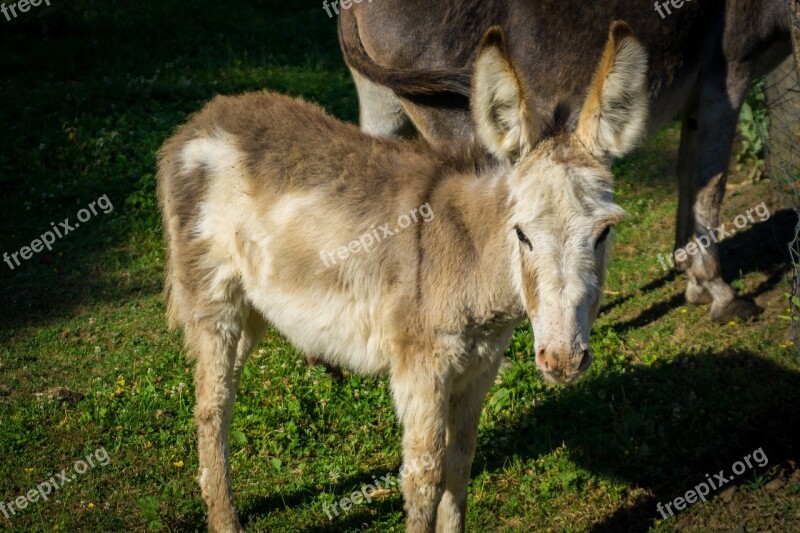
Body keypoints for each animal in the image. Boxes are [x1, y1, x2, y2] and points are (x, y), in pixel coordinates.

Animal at [161, 21, 648, 532]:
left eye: (604, 232)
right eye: (522, 234)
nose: (563, 360)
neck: (470, 255)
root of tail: (205, 117)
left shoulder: (478, 368)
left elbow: (460, 465)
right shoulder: (422, 369)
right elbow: (423, 477)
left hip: (253, 308)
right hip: (213, 300)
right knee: (212, 405)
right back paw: (224, 519)